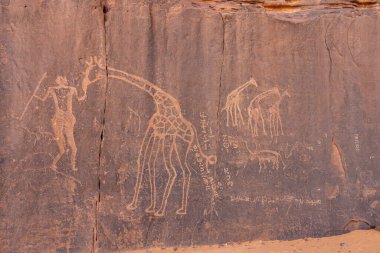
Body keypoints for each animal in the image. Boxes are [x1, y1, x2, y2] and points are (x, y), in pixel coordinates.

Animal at [95, 62, 217, 216]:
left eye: (93, 73)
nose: (98, 75)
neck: (159, 100)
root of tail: (193, 133)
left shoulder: (158, 132)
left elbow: (147, 163)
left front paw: (150, 207)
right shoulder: (154, 132)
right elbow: (146, 163)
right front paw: (141, 206)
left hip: (174, 144)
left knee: (173, 171)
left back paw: (162, 210)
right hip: (179, 146)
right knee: (185, 171)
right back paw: (181, 209)